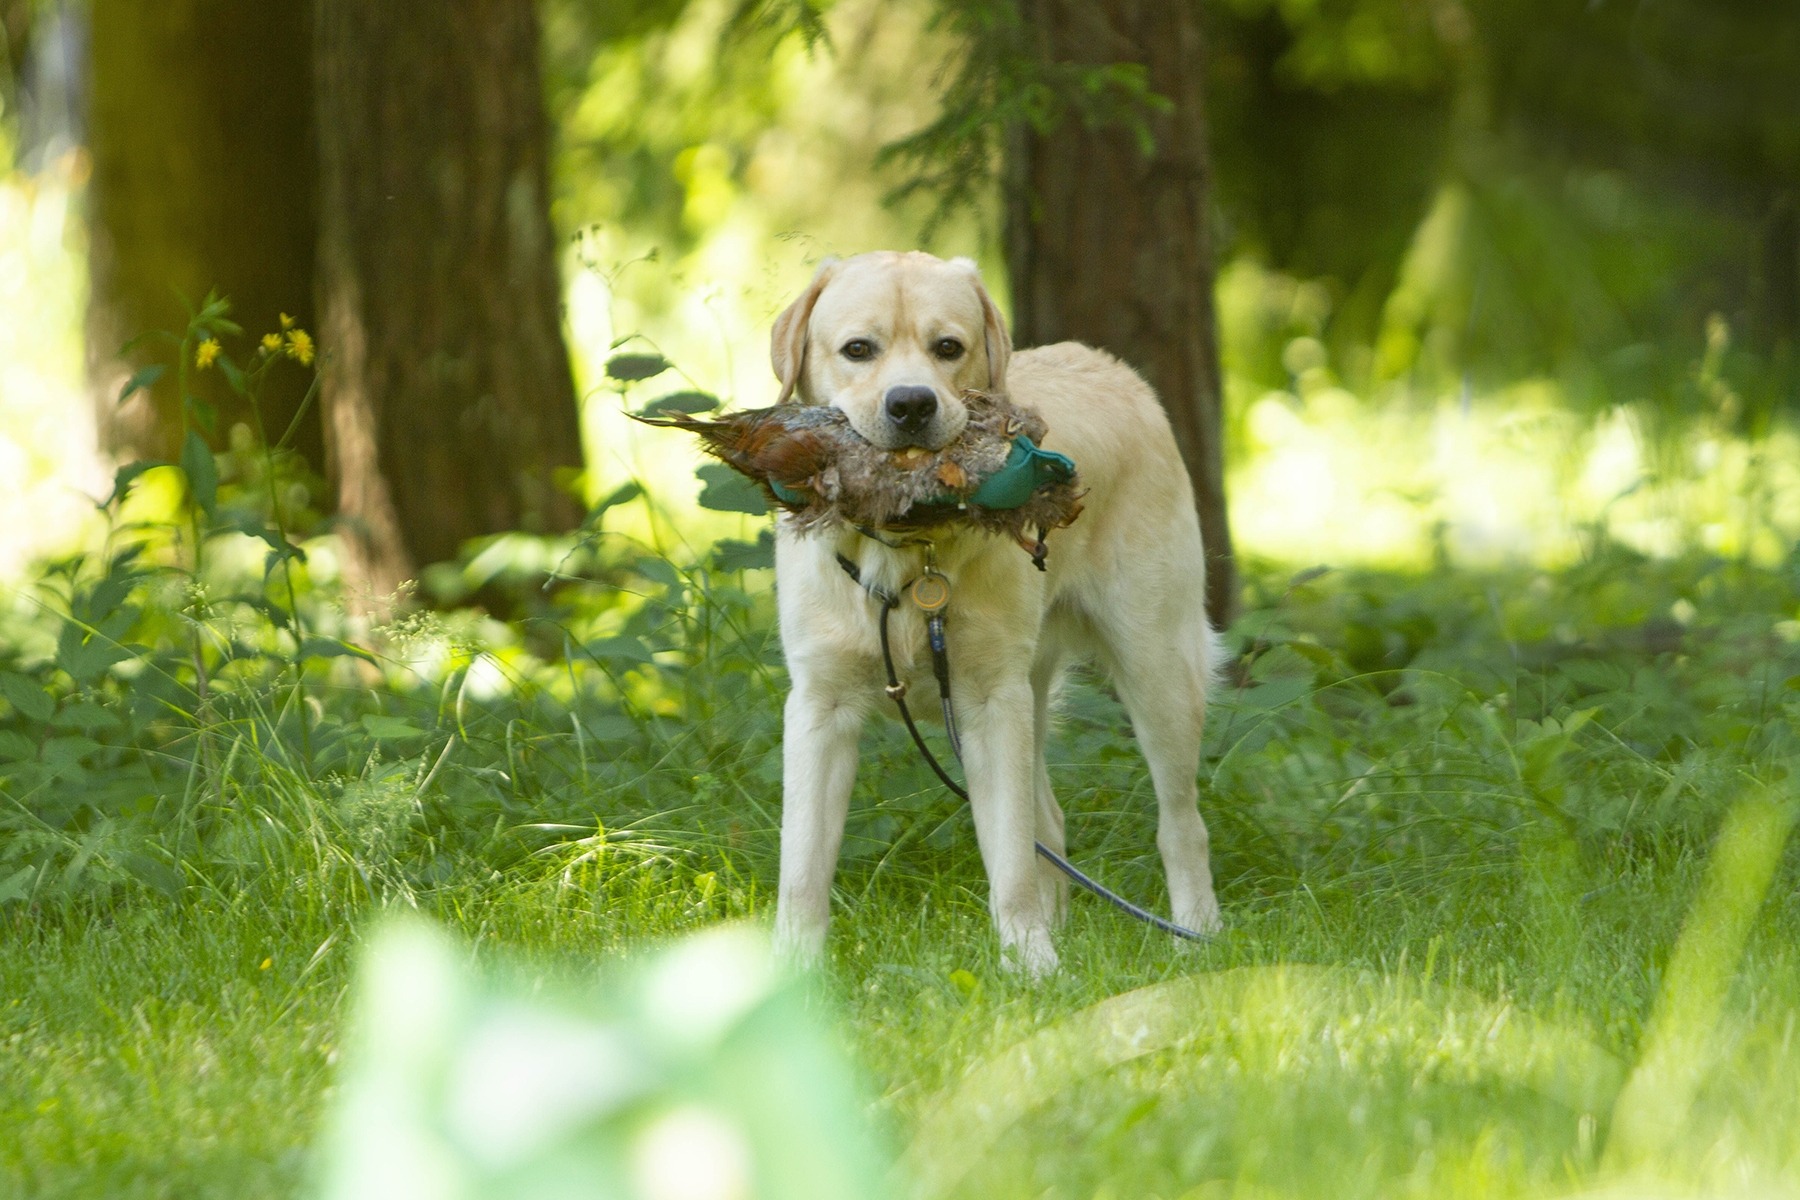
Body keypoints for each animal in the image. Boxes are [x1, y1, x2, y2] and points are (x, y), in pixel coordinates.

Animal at [769, 251, 1221, 974]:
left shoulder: (989, 705)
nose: (911, 404)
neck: (907, 548)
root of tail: (1109, 364)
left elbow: (1008, 857)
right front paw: (793, 972)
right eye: (858, 350)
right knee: (1051, 823)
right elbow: (804, 865)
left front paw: (1031, 965)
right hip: (1036, 693)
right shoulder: (819, 706)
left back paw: (1197, 933)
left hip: (1157, 671)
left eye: (948, 348)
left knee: (1181, 822)